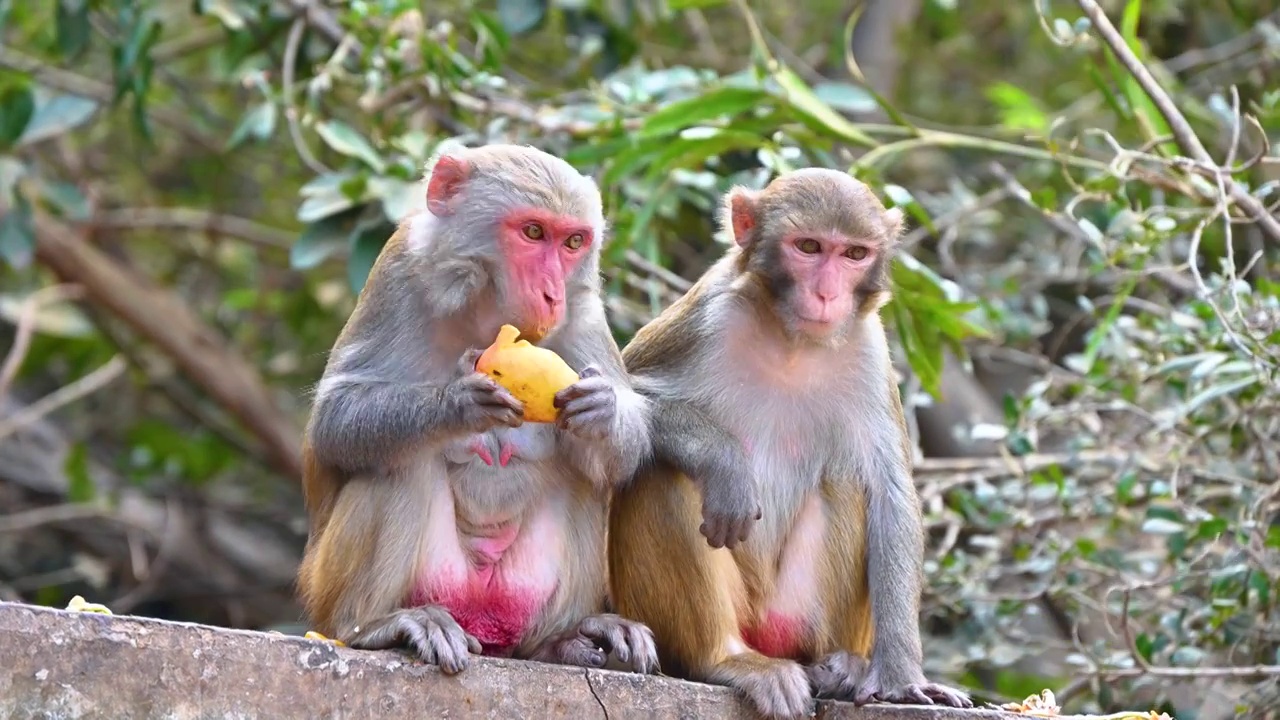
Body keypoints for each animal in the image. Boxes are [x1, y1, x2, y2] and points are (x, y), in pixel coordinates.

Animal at [294, 142, 660, 676]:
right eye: (533, 233)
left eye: (573, 242)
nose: (552, 294)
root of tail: (482, 621)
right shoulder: (399, 274)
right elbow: (334, 421)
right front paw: (459, 403)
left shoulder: (585, 309)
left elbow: (622, 455)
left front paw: (603, 411)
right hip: (351, 588)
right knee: (397, 462)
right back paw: (377, 626)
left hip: (517, 594)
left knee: (582, 476)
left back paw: (561, 640)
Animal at [606, 165, 967, 712]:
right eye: (809, 247)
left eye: (854, 254)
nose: (827, 295)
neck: (791, 342)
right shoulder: (708, 311)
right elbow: (615, 398)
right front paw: (725, 461)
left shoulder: (869, 349)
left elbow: (890, 493)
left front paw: (904, 676)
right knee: (662, 472)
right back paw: (727, 659)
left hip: (793, 617)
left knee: (847, 484)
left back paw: (840, 667)